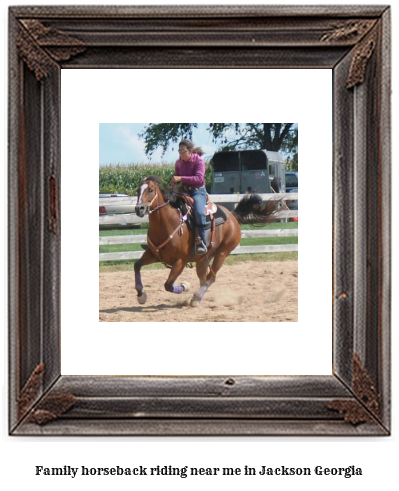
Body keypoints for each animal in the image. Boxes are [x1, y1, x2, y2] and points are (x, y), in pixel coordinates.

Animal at [135, 176, 284, 308]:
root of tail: (232, 215)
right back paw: (198, 298)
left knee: (211, 277)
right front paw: (141, 295)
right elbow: (137, 265)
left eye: (151, 190)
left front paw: (184, 286)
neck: (168, 223)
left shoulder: (180, 262)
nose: (139, 209)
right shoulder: (153, 254)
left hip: (222, 253)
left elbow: (168, 285)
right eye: (138, 190)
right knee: (204, 278)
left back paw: (196, 298)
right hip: (203, 259)